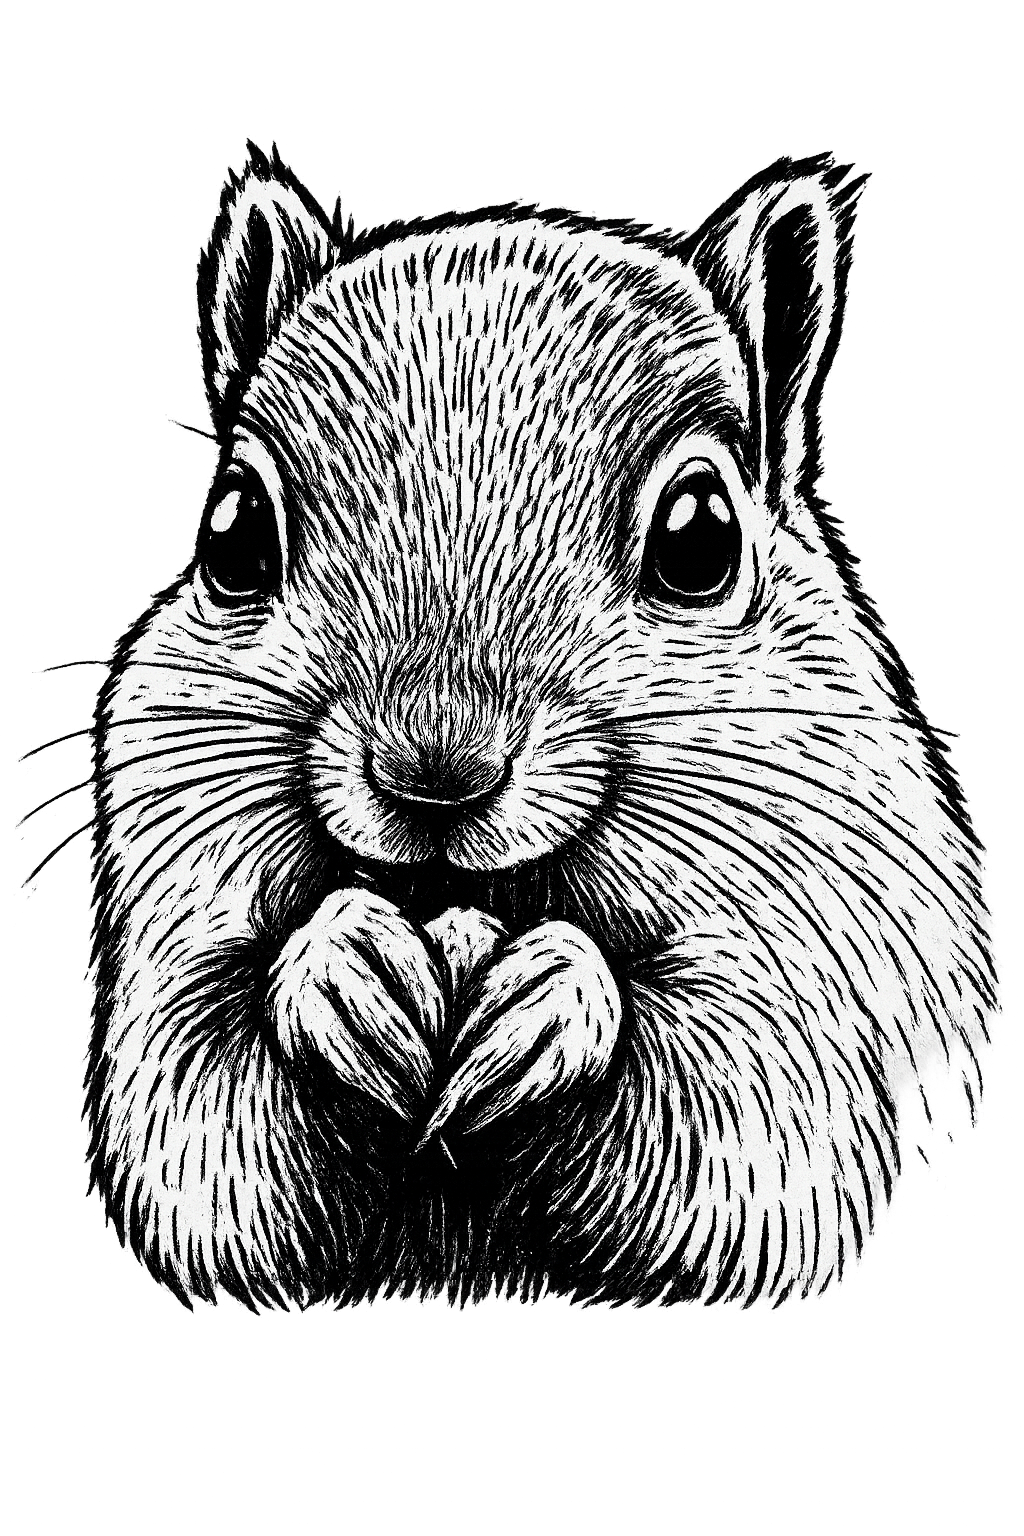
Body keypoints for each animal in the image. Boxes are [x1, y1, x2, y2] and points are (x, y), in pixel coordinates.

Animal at [88, 148, 995, 1307]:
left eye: (701, 536)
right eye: (233, 535)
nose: (434, 770)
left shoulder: (825, 973)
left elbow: (750, 1130)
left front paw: (556, 999)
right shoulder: (177, 941)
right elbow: (197, 1126)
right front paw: (342, 967)